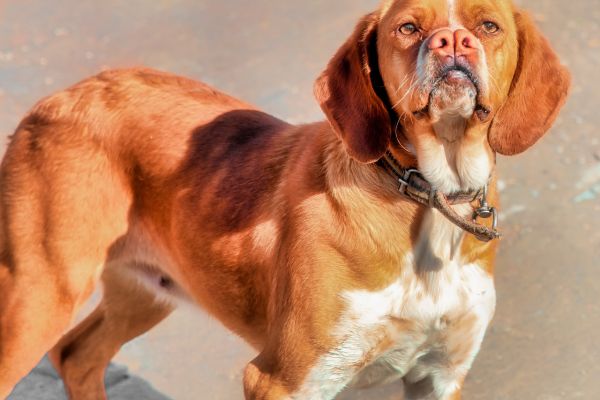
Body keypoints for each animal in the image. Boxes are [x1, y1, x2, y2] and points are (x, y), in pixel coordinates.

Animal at [0, 0, 572, 398]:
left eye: (489, 26)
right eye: (408, 28)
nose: (453, 41)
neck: (427, 195)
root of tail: (58, 98)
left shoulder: (439, 374)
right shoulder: (284, 379)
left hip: (145, 290)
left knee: (77, 355)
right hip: (40, 293)